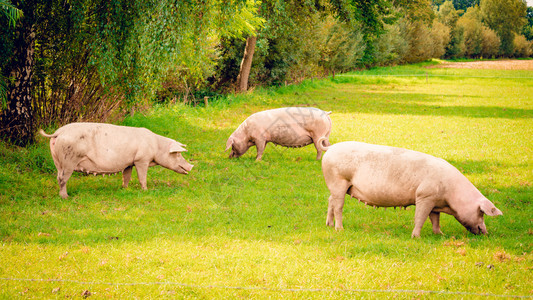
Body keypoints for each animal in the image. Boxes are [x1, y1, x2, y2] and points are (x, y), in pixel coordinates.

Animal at [40, 123, 193, 198]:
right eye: (178, 154)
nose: (191, 166)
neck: (155, 146)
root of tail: (58, 132)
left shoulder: (129, 163)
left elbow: (126, 176)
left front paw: (124, 189)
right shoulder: (141, 160)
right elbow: (142, 177)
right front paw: (145, 190)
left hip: (57, 161)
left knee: (58, 176)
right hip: (69, 160)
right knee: (62, 179)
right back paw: (65, 197)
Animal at [320, 142, 502, 238]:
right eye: (481, 212)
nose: (485, 232)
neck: (450, 196)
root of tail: (330, 148)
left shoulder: (435, 202)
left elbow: (435, 219)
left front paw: (440, 235)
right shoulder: (424, 195)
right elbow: (420, 217)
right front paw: (416, 237)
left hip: (336, 186)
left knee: (330, 201)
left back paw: (328, 225)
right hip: (339, 180)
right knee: (338, 206)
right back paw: (339, 229)